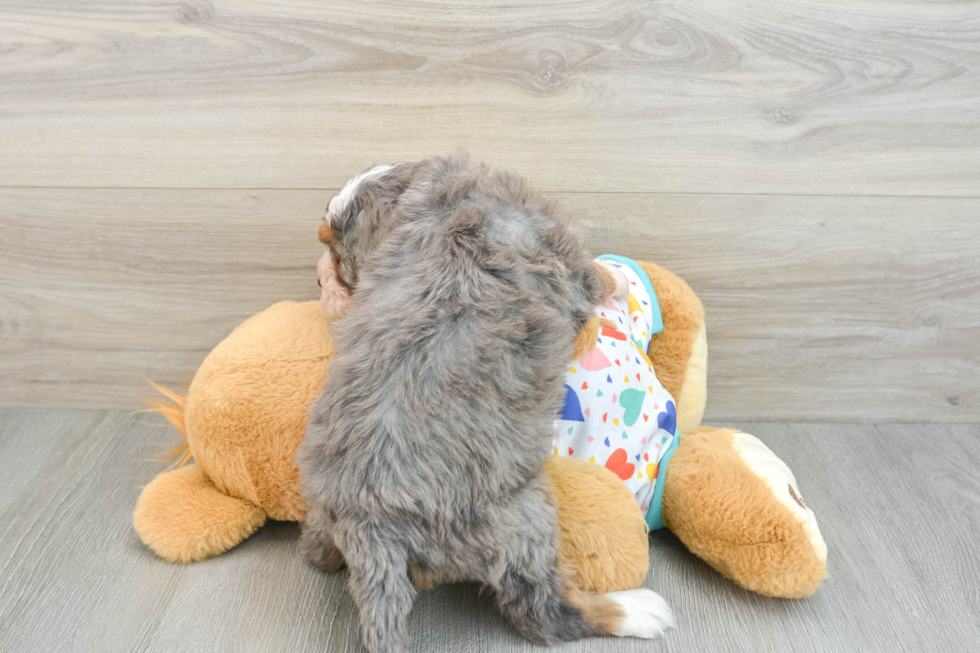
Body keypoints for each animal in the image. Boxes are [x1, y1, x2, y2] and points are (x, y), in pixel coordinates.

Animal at [298, 154, 672, 652]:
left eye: (340, 256)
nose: (319, 278)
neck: (424, 196)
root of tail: (369, 526)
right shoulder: (566, 258)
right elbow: (598, 275)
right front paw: (624, 277)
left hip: (324, 505)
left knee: (318, 553)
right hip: (524, 520)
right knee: (542, 612)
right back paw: (635, 610)